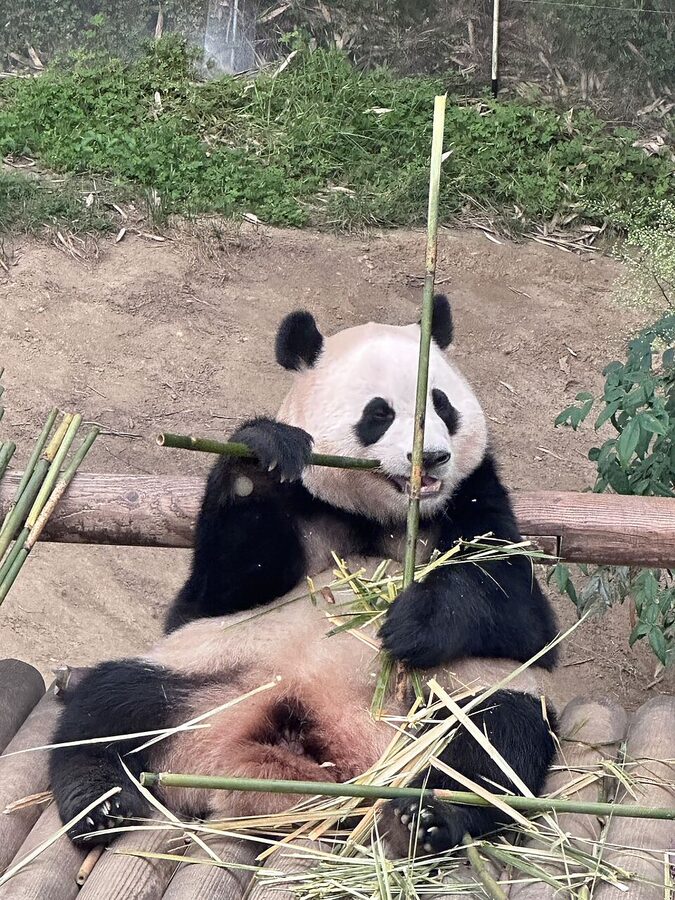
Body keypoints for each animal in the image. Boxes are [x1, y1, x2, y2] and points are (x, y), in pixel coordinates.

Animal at [50, 295, 559, 854]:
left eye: (442, 405)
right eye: (379, 414)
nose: (432, 458)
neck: (376, 517)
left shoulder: (475, 499)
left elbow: (520, 614)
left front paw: (411, 623)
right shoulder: (299, 507)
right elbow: (215, 593)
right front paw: (260, 457)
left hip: (445, 697)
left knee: (493, 738)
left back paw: (427, 816)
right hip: (207, 671)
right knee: (111, 706)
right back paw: (99, 802)